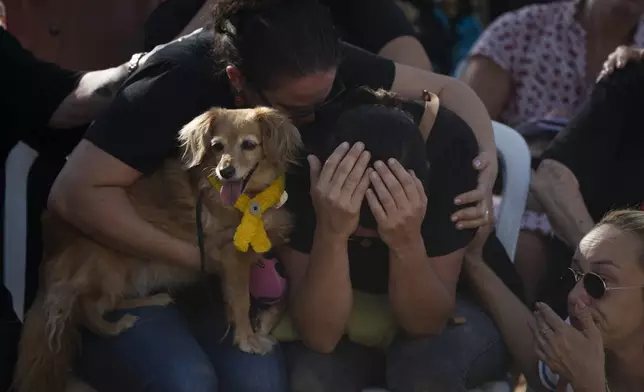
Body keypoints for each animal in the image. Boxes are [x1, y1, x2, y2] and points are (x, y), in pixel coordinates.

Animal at [12, 106, 300, 392]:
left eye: (249, 144)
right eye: (217, 146)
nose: (225, 172)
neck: (252, 198)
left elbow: (282, 296)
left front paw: (263, 322)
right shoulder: (230, 257)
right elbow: (241, 300)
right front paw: (247, 339)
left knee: (110, 302)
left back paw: (153, 300)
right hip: (106, 262)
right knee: (87, 310)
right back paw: (117, 326)